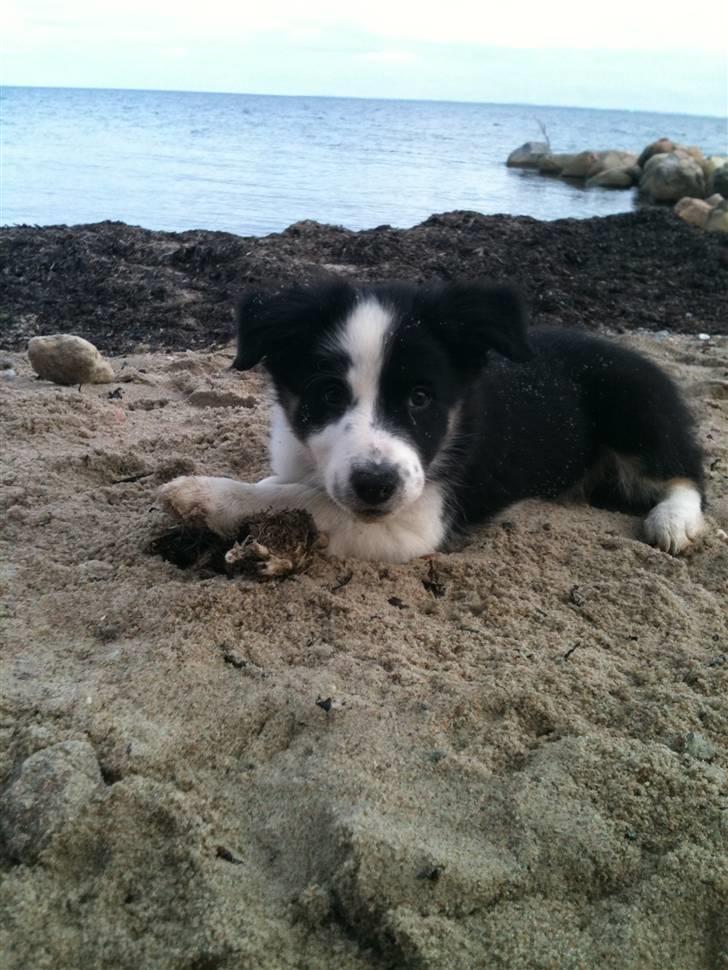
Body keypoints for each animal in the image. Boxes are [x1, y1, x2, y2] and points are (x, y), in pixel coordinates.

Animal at [159, 280, 704, 560]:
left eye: (421, 398)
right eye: (329, 394)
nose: (375, 485)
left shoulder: (415, 520)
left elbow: (301, 501)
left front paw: (205, 494)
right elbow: (289, 486)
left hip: (636, 407)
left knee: (686, 473)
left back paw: (673, 522)